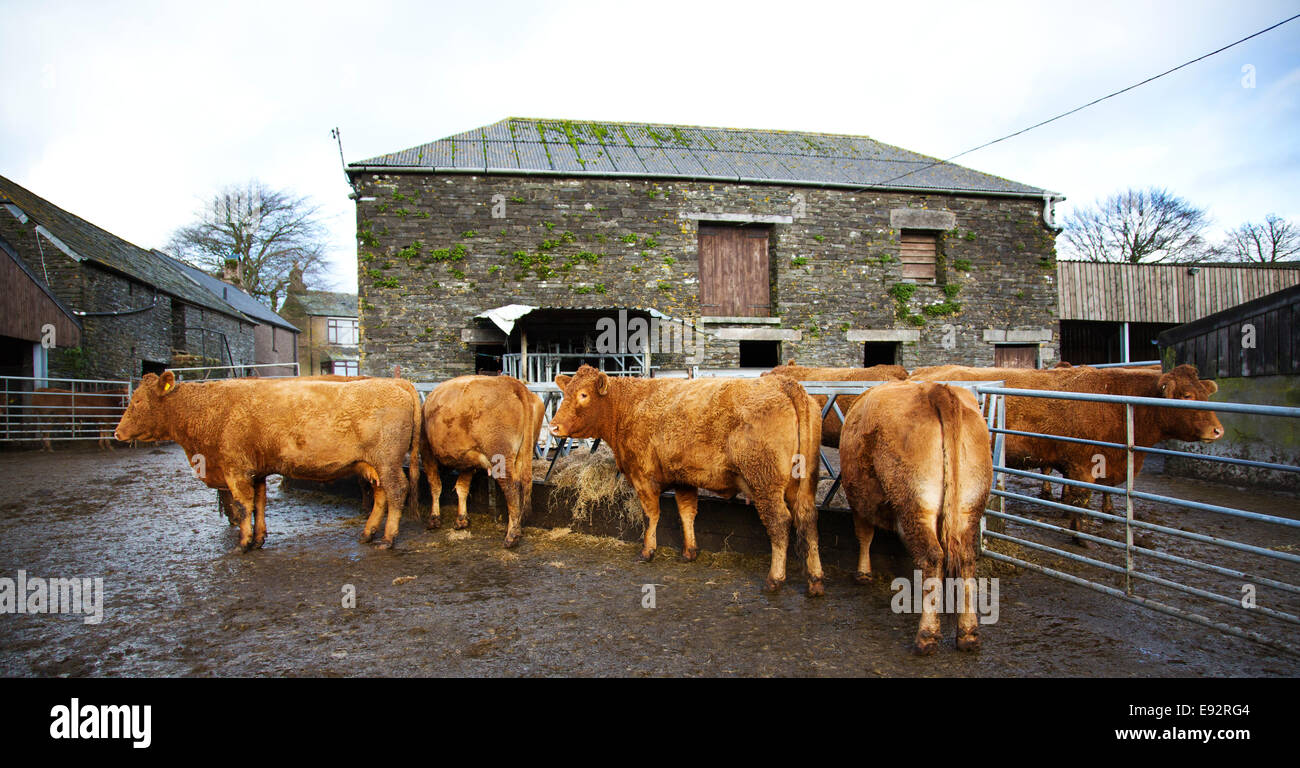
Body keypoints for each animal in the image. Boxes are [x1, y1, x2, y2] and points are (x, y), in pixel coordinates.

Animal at [115, 374, 421, 550]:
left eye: (138, 401)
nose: (117, 432)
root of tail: (395, 382)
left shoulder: (235, 469)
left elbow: (242, 506)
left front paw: (243, 543)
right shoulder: (257, 471)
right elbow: (259, 503)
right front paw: (259, 537)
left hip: (387, 461)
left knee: (397, 491)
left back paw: (388, 539)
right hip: (373, 465)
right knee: (382, 495)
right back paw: (368, 533)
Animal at [423, 376, 546, 545]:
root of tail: (511, 383)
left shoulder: (426, 451)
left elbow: (435, 485)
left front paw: (434, 519)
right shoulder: (468, 461)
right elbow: (462, 487)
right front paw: (461, 519)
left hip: (500, 455)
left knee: (511, 487)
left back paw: (512, 535)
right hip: (524, 452)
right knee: (522, 484)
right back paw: (518, 527)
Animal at [548, 363, 821, 595]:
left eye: (583, 395)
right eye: (565, 393)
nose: (553, 427)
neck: (628, 406)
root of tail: (783, 383)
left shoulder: (642, 476)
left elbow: (652, 514)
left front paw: (647, 551)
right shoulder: (684, 479)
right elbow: (686, 512)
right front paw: (690, 551)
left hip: (764, 481)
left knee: (779, 522)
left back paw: (774, 579)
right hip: (805, 484)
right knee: (807, 519)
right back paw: (815, 581)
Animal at [837, 382, 987, 654]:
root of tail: (937, 390)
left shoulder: (859, 501)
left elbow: (864, 536)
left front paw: (863, 573)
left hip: (916, 505)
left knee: (932, 557)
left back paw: (926, 634)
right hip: (968, 508)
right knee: (966, 559)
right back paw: (968, 634)